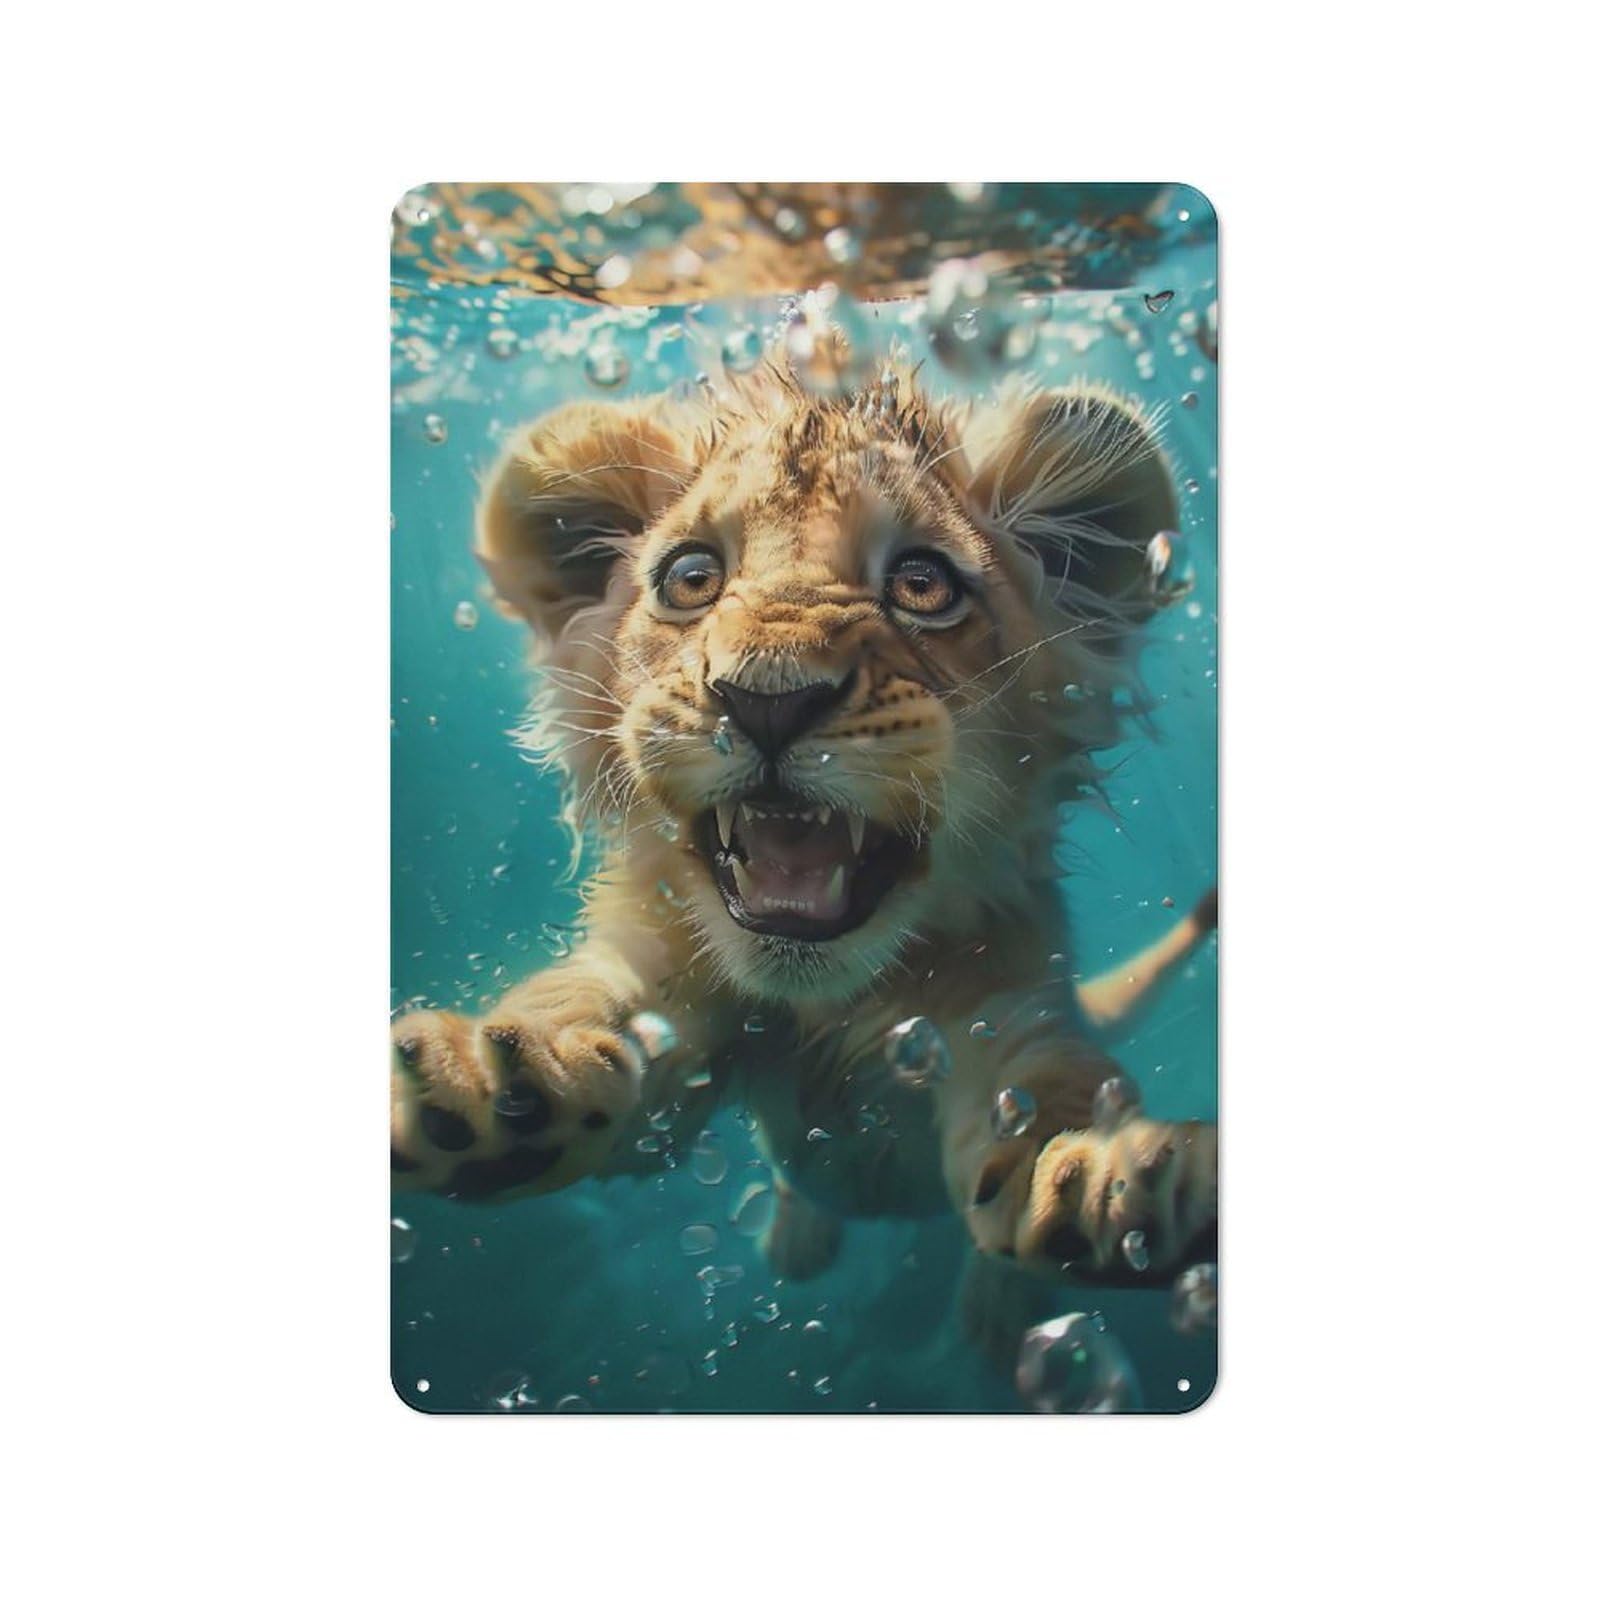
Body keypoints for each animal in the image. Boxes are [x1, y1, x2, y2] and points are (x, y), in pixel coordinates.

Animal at [390, 359, 1218, 1366]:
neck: (825, 1008)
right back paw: (799, 1239)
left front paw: (1116, 1184)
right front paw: (487, 1086)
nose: (766, 700)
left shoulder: (1011, 1009)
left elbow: (1053, 1102)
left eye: (922, 583)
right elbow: (579, 1005)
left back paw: (999, 1321)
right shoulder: (659, 986)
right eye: (692, 577)